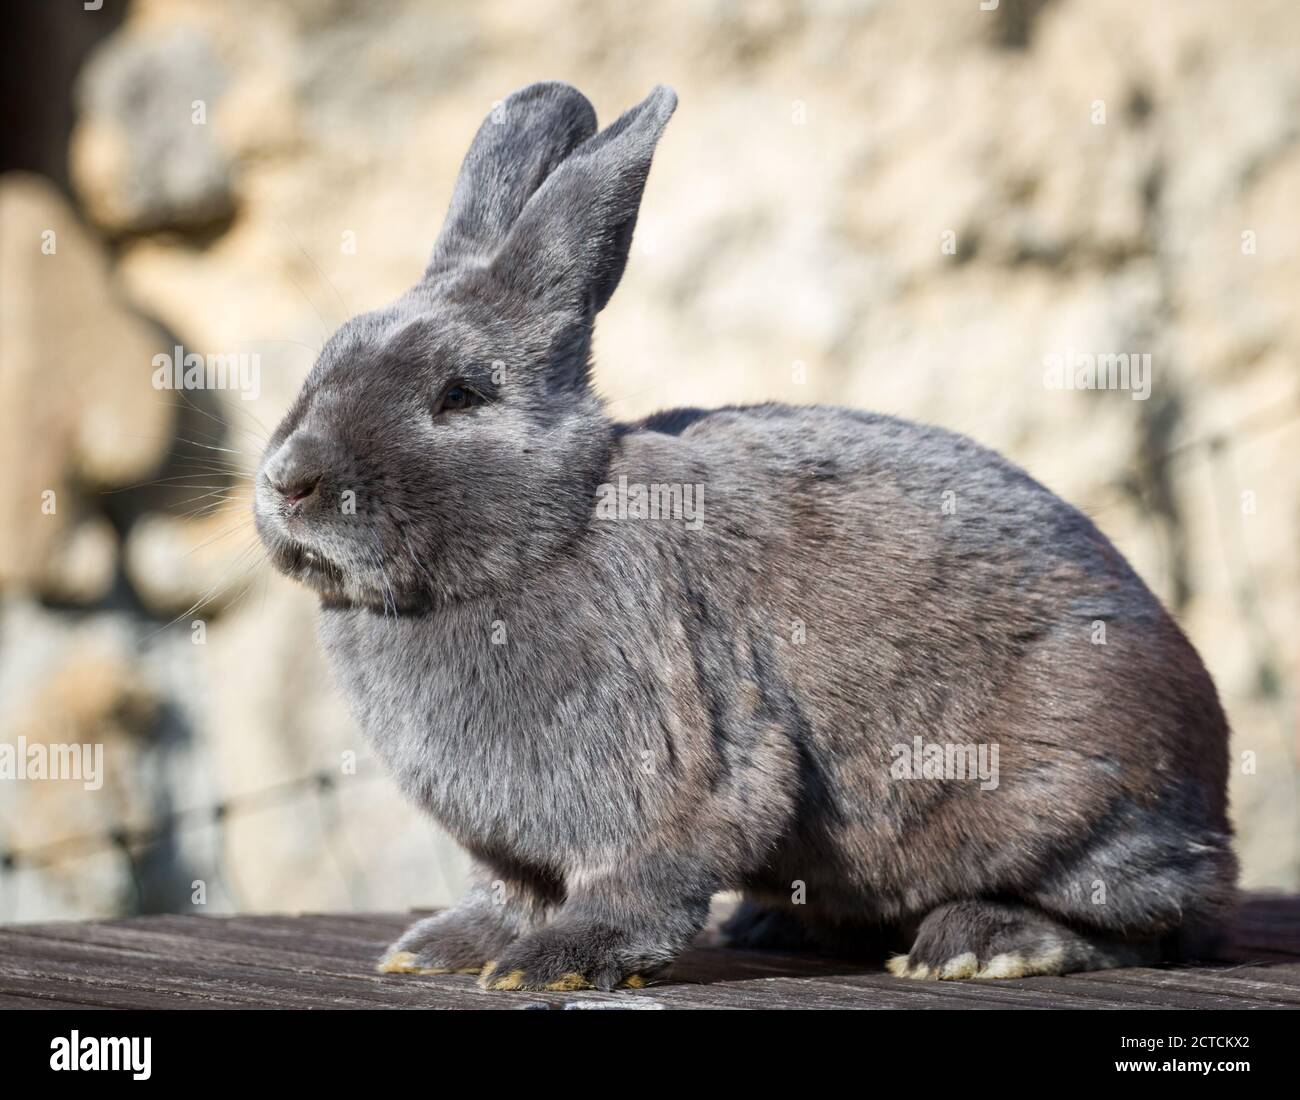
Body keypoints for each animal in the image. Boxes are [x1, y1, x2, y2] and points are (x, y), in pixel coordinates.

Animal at [253, 81, 1237, 992]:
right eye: (326, 360)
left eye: (460, 394)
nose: (288, 481)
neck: (549, 532)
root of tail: (1213, 797)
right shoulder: (510, 848)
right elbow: (508, 894)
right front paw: (439, 952)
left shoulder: (676, 759)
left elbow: (635, 881)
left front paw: (549, 967)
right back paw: (781, 927)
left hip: (1069, 798)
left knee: (1145, 922)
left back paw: (981, 945)